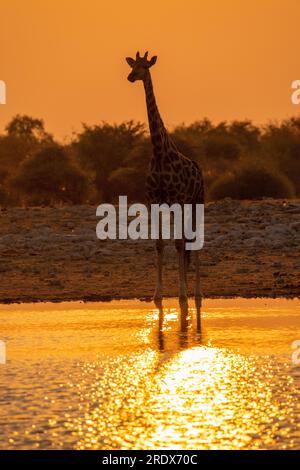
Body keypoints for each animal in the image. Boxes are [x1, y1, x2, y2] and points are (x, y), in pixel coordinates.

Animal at [124, 52, 204, 308]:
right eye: (133, 65)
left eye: (145, 66)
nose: (131, 77)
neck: (159, 152)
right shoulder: (154, 201)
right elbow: (159, 244)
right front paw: (157, 294)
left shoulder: (177, 199)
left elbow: (178, 243)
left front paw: (182, 295)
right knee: (187, 240)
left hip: (197, 202)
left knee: (194, 239)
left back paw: (197, 293)